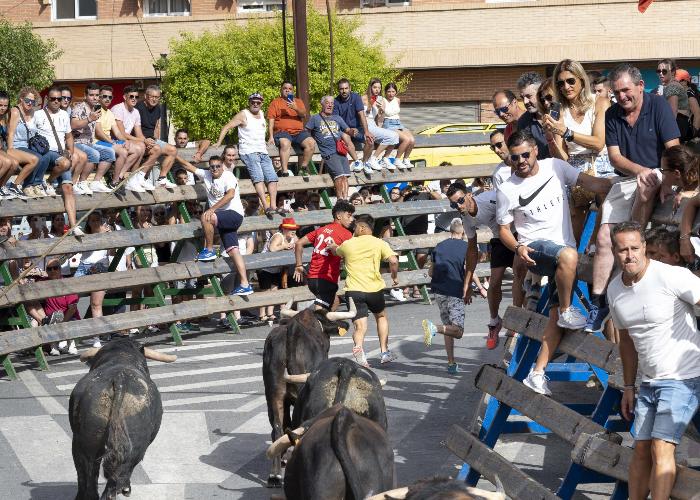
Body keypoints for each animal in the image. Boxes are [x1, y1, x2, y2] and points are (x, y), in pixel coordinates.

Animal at [69, 338, 175, 498]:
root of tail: (118, 380)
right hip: (131, 451)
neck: (121, 356)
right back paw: (122, 489)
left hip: (84, 446)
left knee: (87, 480)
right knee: (116, 480)